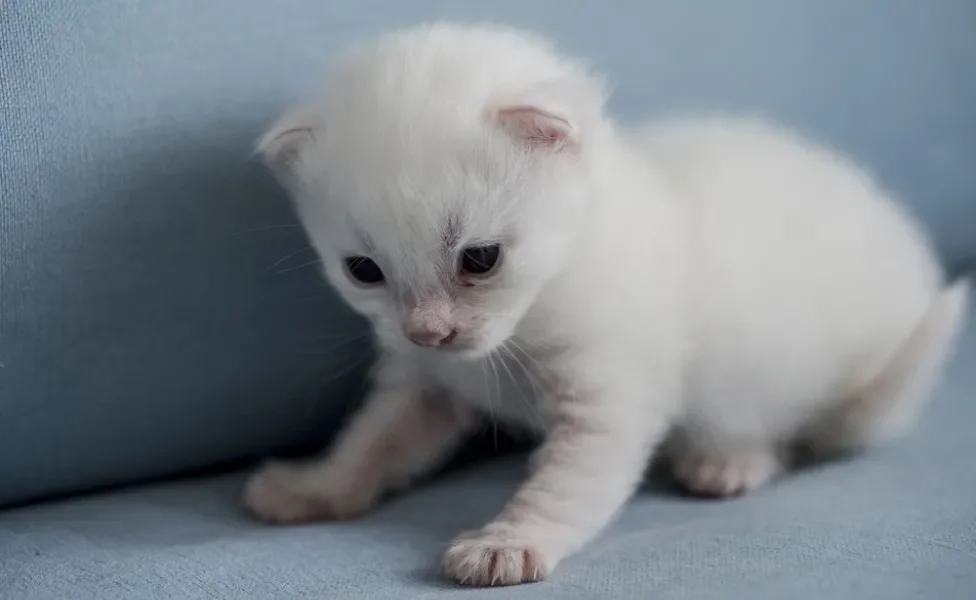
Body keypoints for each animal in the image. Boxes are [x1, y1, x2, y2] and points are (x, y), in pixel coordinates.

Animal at [244, 22, 968, 584]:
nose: (429, 333)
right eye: (363, 270)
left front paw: (510, 543)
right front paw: (315, 488)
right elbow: (372, 442)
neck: (531, 314)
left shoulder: (608, 400)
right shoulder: (426, 384)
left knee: (781, 428)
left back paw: (727, 462)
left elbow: (567, 487)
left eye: (480, 258)